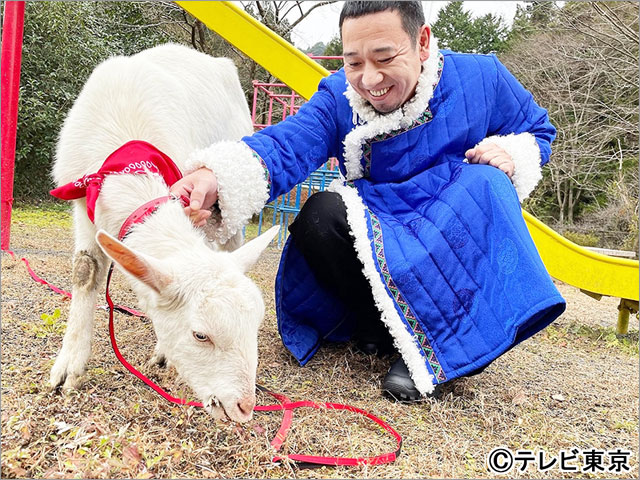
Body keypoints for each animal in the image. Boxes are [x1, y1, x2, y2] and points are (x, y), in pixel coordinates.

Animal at [47, 43, 272, 422]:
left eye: (255, 326)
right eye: (200, 335)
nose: (243, 408)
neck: (125, 159)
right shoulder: (81, 201)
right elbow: (85, 270)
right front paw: (68, 367)